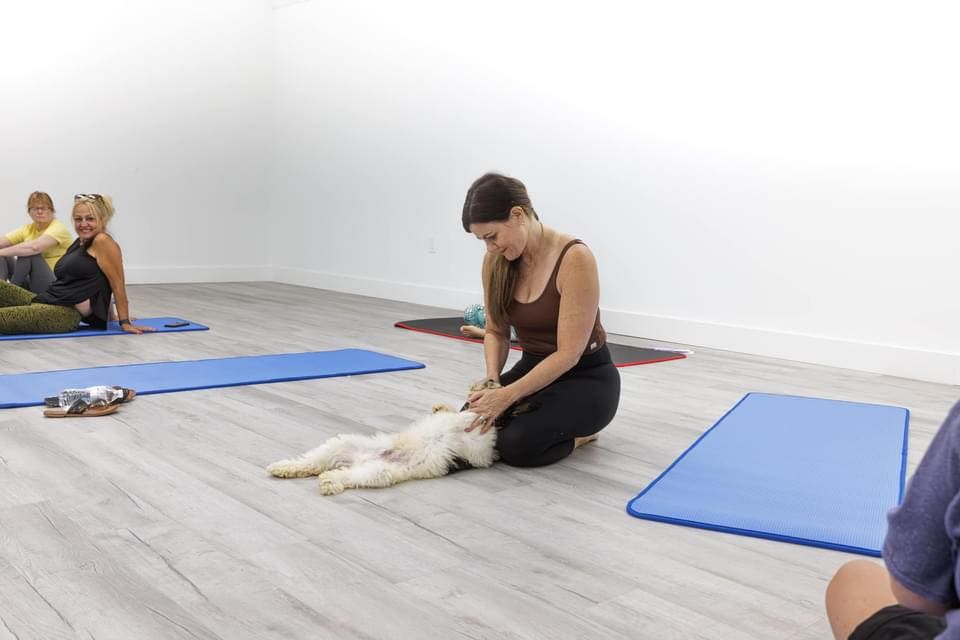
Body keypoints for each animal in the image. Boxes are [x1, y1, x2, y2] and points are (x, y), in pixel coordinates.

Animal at [266, 384, 498, 496]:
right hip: (345, 447)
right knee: (312, 462)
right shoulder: (476, 444)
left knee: (337, 472)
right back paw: (283, 468)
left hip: (376, 471)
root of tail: (361, 460)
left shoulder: (480, 452)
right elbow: (458, 415)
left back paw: (326, 480)